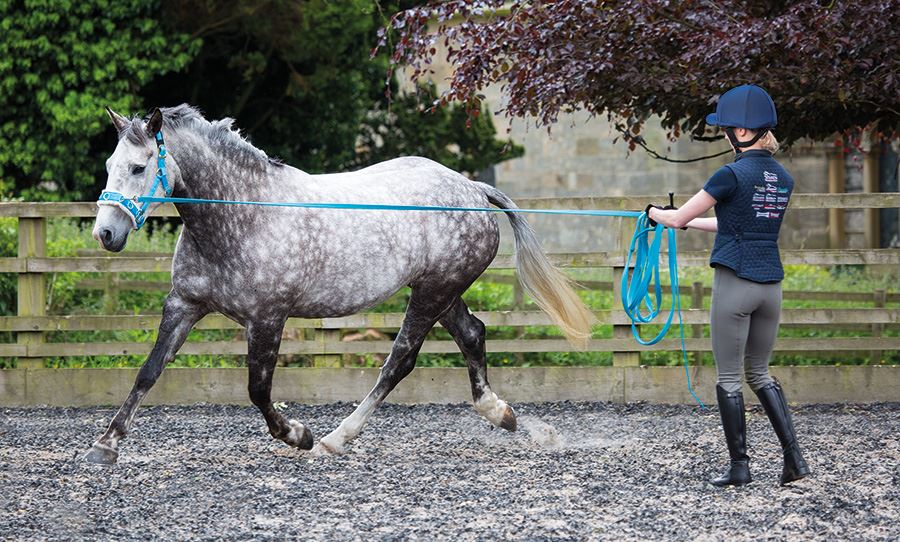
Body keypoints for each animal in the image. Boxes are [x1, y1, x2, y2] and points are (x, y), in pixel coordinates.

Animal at [85, 105, 595, 464]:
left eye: (138, 168)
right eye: (110, 163)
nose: (105, 233)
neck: (242, 215)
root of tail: (473, 189)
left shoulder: (267, 319)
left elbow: (258, 390)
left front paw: (299, 435)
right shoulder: (184, 305)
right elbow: (148, 371)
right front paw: (105, 446)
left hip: (432, 293)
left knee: (400, 360)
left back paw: (336, 438)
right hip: (442, 293)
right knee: (473, 333)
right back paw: (501, 414)